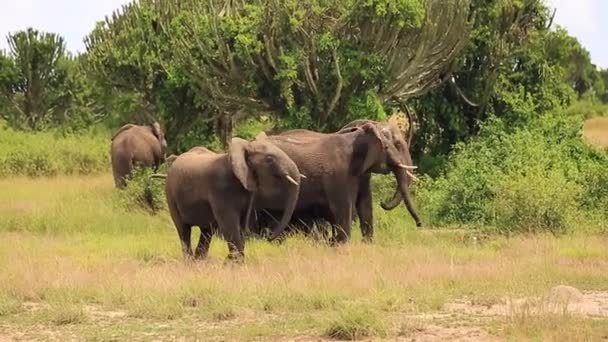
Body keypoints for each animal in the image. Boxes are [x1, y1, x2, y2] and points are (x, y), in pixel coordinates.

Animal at [164, 134, 302, 262]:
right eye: (269, 159)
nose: (269, 237)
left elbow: (242, 224)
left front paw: (232, 261)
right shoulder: (220, 189)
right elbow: (230, 225)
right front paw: (233, 263)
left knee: (207, 231)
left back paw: (199, 261)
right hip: (170, 195)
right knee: (183, 230)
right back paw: (190, 262)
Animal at [249, 121, 420, 243]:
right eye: (390, 146)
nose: (419, 225)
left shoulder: (362, 174)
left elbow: (365, 205)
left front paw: (367, 244)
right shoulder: (338, 174)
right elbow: (344, 208)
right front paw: (341, 246)